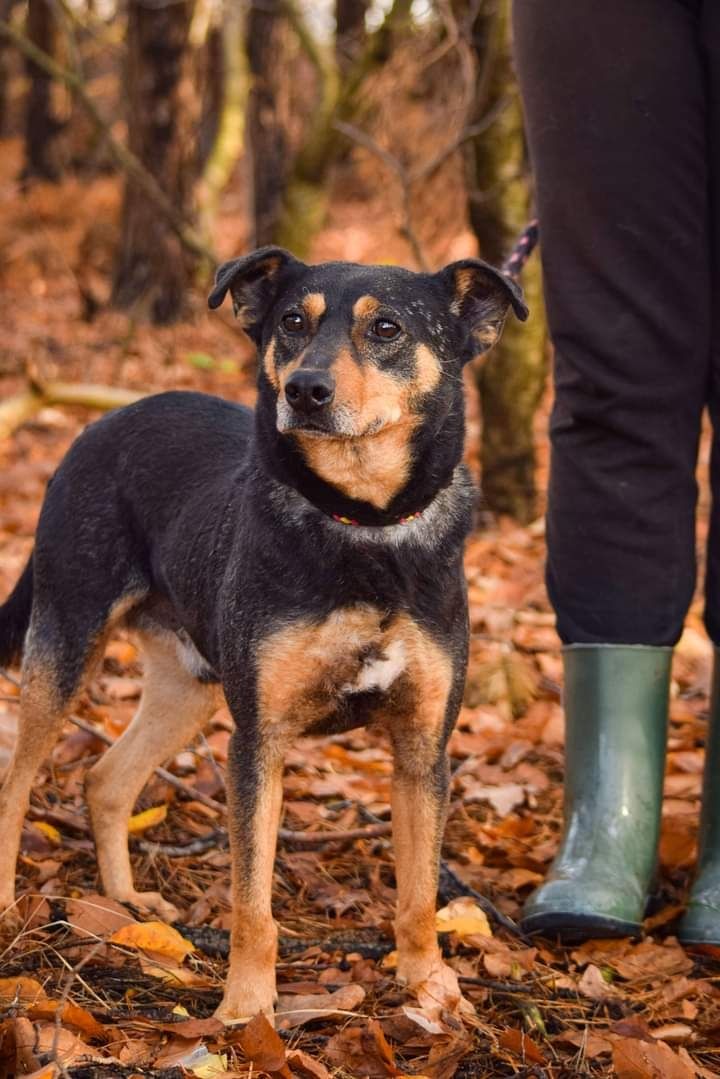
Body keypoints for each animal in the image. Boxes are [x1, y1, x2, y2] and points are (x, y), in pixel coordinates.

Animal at [0, 247, 528, 1018]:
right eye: (292, 322)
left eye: (388, 329)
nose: (306, 390)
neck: (362, 527)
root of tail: (102, 422)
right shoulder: (260, 741)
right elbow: (253, 902)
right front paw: (248, 1009)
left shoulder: (422, 748)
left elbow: (420, 893)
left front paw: (429, 987)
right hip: (67, 639)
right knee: (15, 783)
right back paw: (9, 906)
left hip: (188, 686)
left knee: (105, 780)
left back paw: (128, 905)